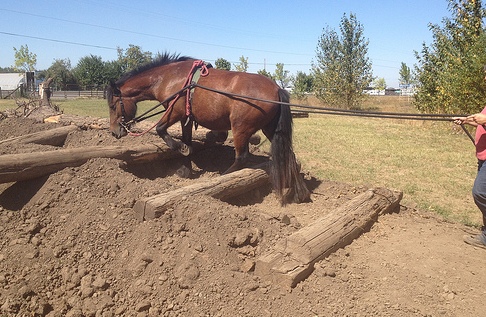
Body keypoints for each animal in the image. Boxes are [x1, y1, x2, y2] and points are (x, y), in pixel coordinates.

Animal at [107, 52, 310, 204]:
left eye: (112, 105)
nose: (115, 132)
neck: (168, 78)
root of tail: (277, 89)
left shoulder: (174, 111)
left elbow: (161, 130)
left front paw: (179, 148)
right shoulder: (186, 117)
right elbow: (187, 140)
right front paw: (185, 168)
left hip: (240, 128)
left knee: (242, 157)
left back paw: (222, 177)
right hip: (271, 129)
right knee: (288, 155)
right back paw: (300, 193)